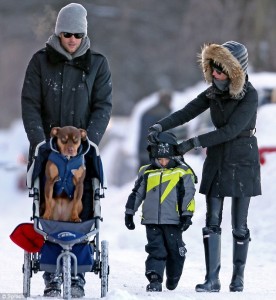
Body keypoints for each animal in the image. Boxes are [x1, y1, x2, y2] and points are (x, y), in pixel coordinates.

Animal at [10, 134, 109, 300]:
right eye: (63, 138)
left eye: (76, 139)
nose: (70, 148)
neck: (67, 159)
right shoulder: (49, 184)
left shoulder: (78, 187)